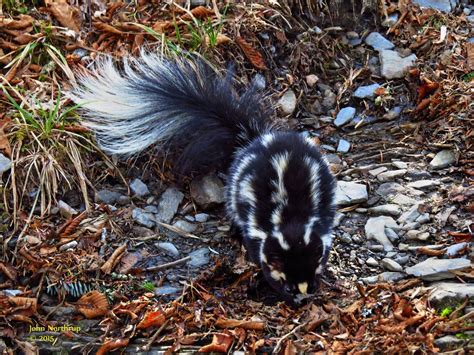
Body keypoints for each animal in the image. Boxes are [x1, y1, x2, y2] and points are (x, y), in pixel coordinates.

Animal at [71, 51, 336, 304]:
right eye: (287, 285)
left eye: (311, 282)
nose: (301, 300)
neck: (289, 219)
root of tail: (254, 138)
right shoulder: (257, 224)